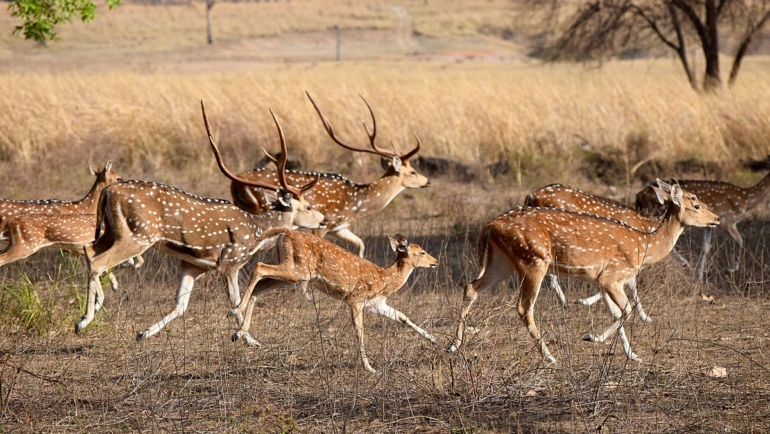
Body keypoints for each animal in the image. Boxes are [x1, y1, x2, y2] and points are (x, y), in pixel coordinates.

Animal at [76, 102, 328, 340]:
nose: (324, 220)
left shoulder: (193, 265)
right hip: (138, 235)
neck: (257, 233)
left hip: (109, 232)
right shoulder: (230, 262)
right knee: (98, 262)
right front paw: (245, 337)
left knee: (89, 250)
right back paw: (84, 321)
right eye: (308, 206)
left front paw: (143, 333)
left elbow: (181, 305)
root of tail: (108, 191)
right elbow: (234, 301)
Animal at [226, 229, 438, 374]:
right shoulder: (355, 298)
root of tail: (286, 233)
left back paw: (238, 332)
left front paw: (434, 340)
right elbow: (360, 332)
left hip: (292, 271)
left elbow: (402, 316)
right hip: (297, 269)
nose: (435, 261)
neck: (383, 279)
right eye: (421, 252)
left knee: (260, 285)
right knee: (259, 267)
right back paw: (234, 311)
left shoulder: (376, 303)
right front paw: (369, 367)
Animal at [228, 92, 432, 258]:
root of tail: (234, 184)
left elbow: (361, 244)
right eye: (413, 171)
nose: (427, 181)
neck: (356, 204)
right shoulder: (324, 223)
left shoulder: (339, 228)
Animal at [448, 181, 716, 364]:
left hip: (502, 262)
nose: (717, 218)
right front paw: (592, 337)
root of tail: (489, 226)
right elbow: (626, 310)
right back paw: (550, 356)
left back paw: (453, 345)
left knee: (471, 287)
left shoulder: (601, 280)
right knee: (524, 308)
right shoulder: (612, 276)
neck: (644, 244)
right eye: (697, 204)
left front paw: (632, 354)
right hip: (533, 260)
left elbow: (616, 311)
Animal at [636, 159, 768, 282]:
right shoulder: (728, 220)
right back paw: (685, 263)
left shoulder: (710, 225)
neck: (746, 199)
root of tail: (639, 196)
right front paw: (731, 269)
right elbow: (739, 239)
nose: (706, 208)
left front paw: (700, 277)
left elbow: (706, 247)